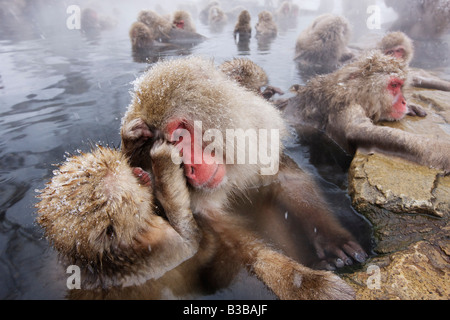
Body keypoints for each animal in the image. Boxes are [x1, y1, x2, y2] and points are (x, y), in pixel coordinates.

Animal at [282, 51, 450, 172]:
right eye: (394, 85)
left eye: (400, 86)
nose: (403, 102)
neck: (356, 92)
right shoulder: (345, 106)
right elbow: (357, 130)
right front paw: (444, 151)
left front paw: (411, 106)